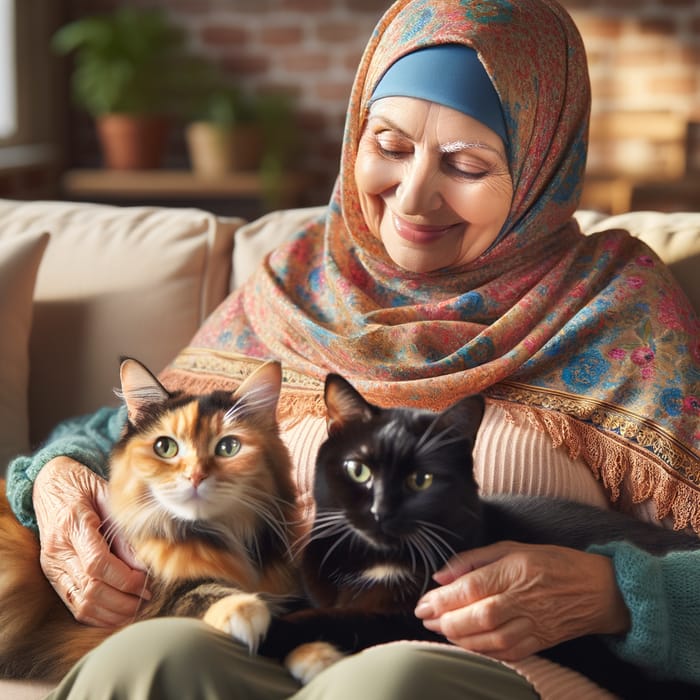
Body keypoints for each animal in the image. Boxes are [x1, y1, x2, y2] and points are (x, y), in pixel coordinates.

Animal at [0, 358, 300, 680]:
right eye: (165, 447)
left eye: (228, 447)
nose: (196, 476)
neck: (222, 535)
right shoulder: (159, 600)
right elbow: (199, 591)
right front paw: (243, 610)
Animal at [260, 374, 700, 696]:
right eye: (358, 470)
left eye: (421, 480)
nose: (379, 511)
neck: (368, 560)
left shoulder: (412, 620)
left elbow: (338, 617)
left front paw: (269, 630)